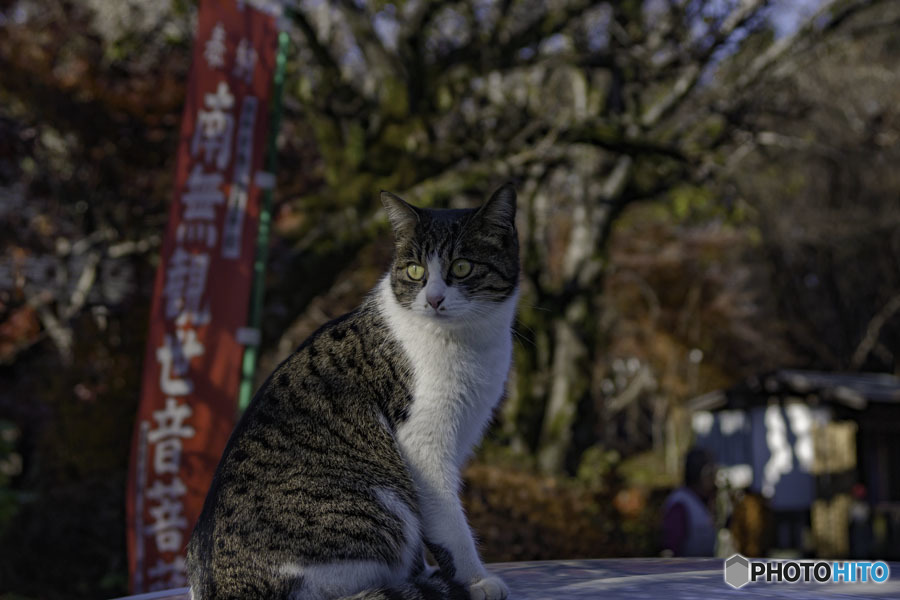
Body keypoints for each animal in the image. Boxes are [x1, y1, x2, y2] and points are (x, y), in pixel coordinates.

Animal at [185, 184, 520, 600]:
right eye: (415, 271)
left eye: (461, 267)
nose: (434, 299)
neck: (469, 341)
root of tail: (226, 588)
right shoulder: (423, 446)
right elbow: (449, 525)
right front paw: (474, 580)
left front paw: (431, 575)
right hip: (382, 504)